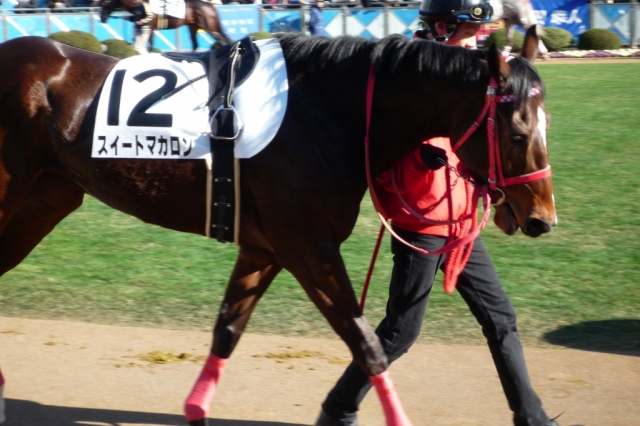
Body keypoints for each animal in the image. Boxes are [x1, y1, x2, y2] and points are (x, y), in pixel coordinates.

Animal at [0, 26, 555, 425]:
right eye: (519, 132)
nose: (542, 220)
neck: (333, 112)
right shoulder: (309, 247)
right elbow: (369, 347)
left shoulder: (265, 248)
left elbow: (228, 329)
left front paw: (196, 408)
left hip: (45, 200)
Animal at [100, 0, 232, 51]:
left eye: (104, 2)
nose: (102, 18)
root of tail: (210, 6)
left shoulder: (151, 28)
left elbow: (151, 46)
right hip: (193, 26)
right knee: (195, 45)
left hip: (209, 27)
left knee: (222, 42)